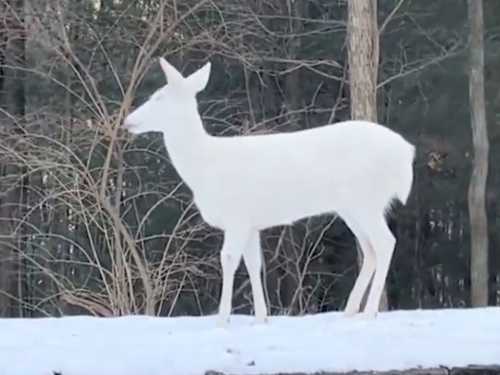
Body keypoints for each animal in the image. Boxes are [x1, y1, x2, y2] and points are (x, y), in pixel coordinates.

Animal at [123, 58, 416, 326]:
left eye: (159, 96)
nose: (127, 121)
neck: (204, 167)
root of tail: (406, 152)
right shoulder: (251, 223)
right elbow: (254, 263)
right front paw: (262, 317)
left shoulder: (237, 216)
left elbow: (228, 259)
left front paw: (222, 319)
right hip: (352, 207)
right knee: (370, 249)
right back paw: (350, 310)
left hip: (366, 199)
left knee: (385, 242)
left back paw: (368, 312)